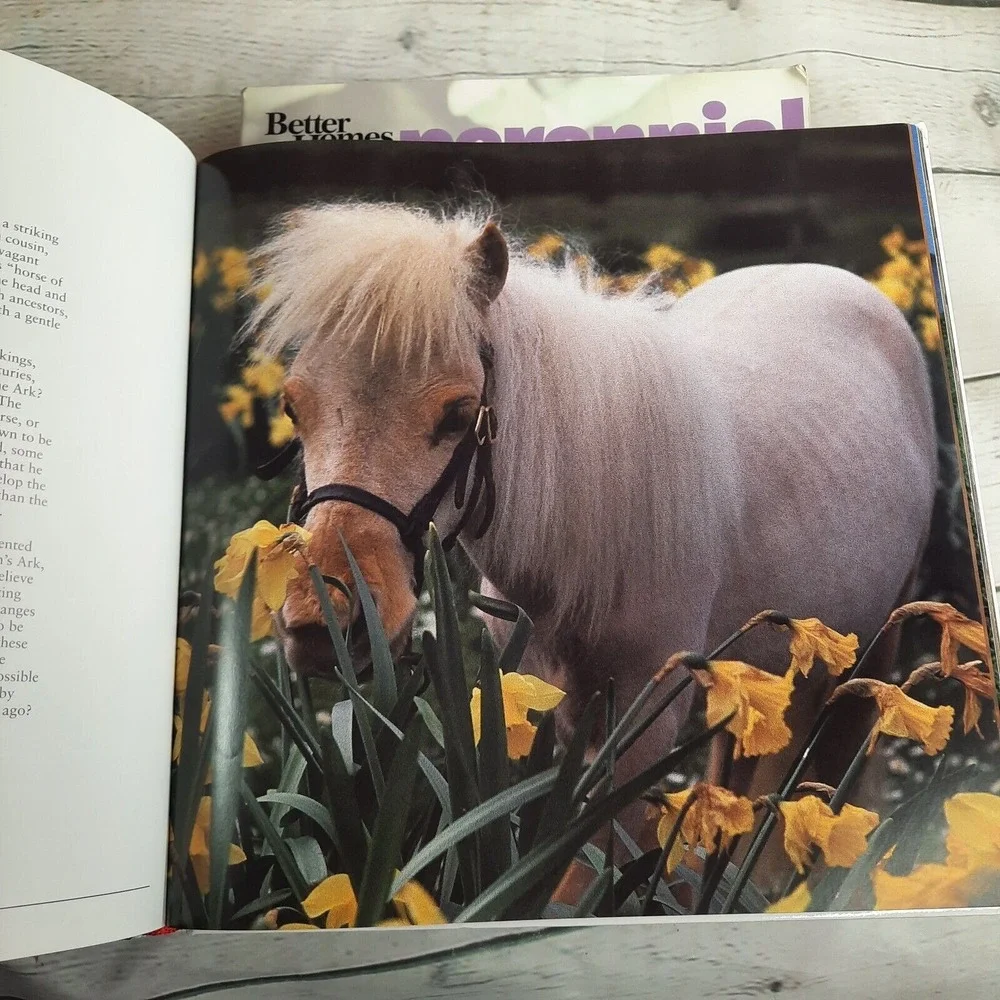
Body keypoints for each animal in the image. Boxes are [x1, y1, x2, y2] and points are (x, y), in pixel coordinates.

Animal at [246, 201, 938, 889]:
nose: (324, 619)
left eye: (457, 413)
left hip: (873, 651)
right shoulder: (547, 697)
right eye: (293, 408)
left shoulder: (643, 717)